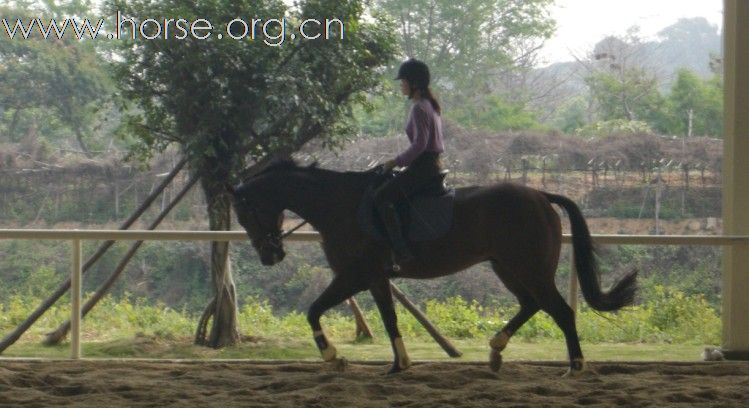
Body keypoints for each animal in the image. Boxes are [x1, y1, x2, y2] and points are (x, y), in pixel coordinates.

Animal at [225, 159, 636, 376]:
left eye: (245, 213)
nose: (270, 256)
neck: (340, 206)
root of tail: (540, 195)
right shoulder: (375, 278)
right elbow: (389, 319)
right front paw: (399, 364)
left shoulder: (354, 275)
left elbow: (313, 310)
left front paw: (333, 356)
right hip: (507, 267)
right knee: (531, 305)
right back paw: (496, 350)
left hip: (530, 269)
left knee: (562, 311)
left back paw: (575, 366)